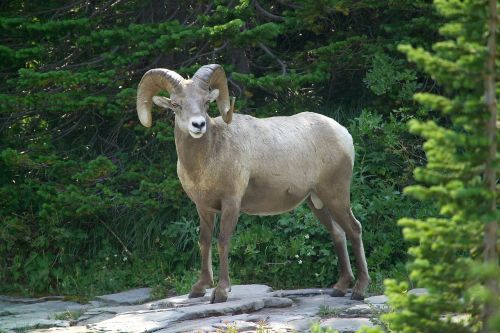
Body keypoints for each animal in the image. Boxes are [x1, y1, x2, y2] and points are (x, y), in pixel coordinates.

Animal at [137, 63, 372, 302]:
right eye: (176, 104)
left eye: (205, 102)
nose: (198, 125)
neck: (207, 160)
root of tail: (344, 134)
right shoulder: (203, 208)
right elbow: (204, 241)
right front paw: (199, 289)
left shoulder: (231, 203)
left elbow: (223, 240)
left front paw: (221, 292)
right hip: (316, 202)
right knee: (338, 233)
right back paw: (340, 288)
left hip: (336, 195)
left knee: (354, 229)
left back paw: (359, 290)